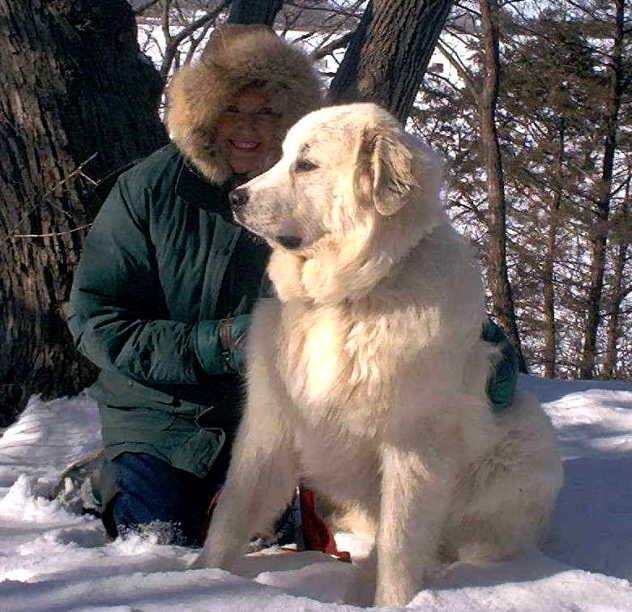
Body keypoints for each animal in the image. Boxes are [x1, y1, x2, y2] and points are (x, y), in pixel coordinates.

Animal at [198, 104, 564, 608]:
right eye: (282, 156)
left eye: (306, 164)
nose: (236, 197)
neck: (346, 300)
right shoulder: (271, 425)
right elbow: (232, 512)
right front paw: (198, 577)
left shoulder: (411, 445)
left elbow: (401, 542)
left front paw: (394, 600)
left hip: (518, 456)